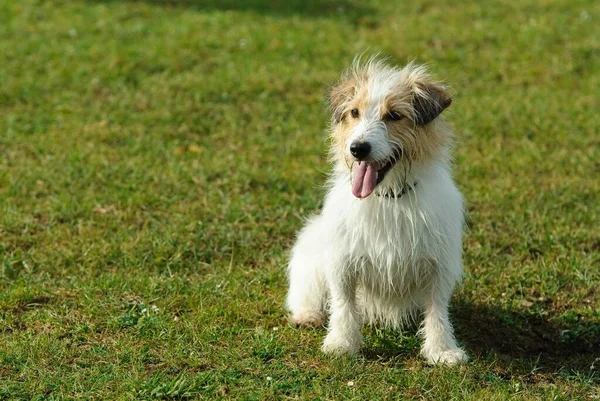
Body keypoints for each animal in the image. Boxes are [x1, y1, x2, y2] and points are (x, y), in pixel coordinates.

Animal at [286, 57, 468, 366]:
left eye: (394, 115)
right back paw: (307, 315)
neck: (389, 198)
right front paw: (342, 342)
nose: (357, 148)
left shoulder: (438, 265)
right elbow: (343, 304)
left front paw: (441, 350)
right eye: (354, 112)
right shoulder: (342, 261)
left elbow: (437, 311)